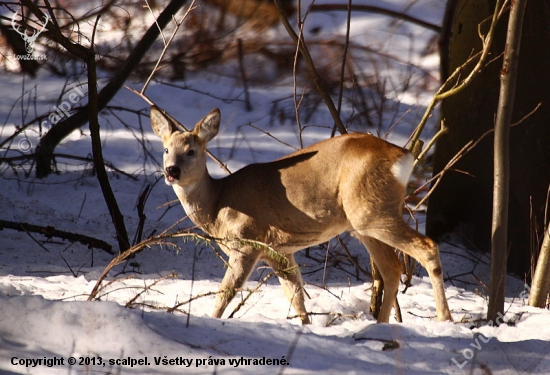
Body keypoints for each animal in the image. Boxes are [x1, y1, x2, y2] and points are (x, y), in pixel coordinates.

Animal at [150, 107, 452, 324]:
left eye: (191, 151)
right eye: (166, 149)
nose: (171, 171)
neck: (217, 204)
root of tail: (403, 156)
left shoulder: (248, 240)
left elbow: (226, 292)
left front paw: (211, 321)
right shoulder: (279, 250)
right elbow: (295, 294)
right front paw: (306, 328)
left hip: (372, 213)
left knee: (426, 247)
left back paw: (444, 319)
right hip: (365, 222)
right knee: (392, 268)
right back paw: (381, 326)